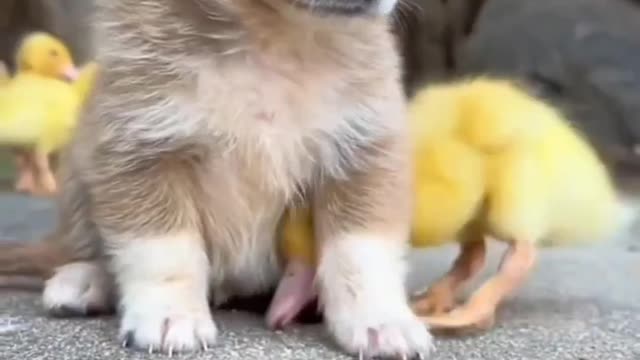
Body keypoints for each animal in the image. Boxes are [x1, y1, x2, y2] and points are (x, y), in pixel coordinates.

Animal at [0, 0, 436, 358]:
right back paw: (83, 280)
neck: (271, 36)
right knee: (82, 248)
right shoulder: (142, 147)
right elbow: (165, 253)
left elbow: (360, 254)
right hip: (80, 166)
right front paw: (170, 314)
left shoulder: (364, 153)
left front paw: (381, 320)